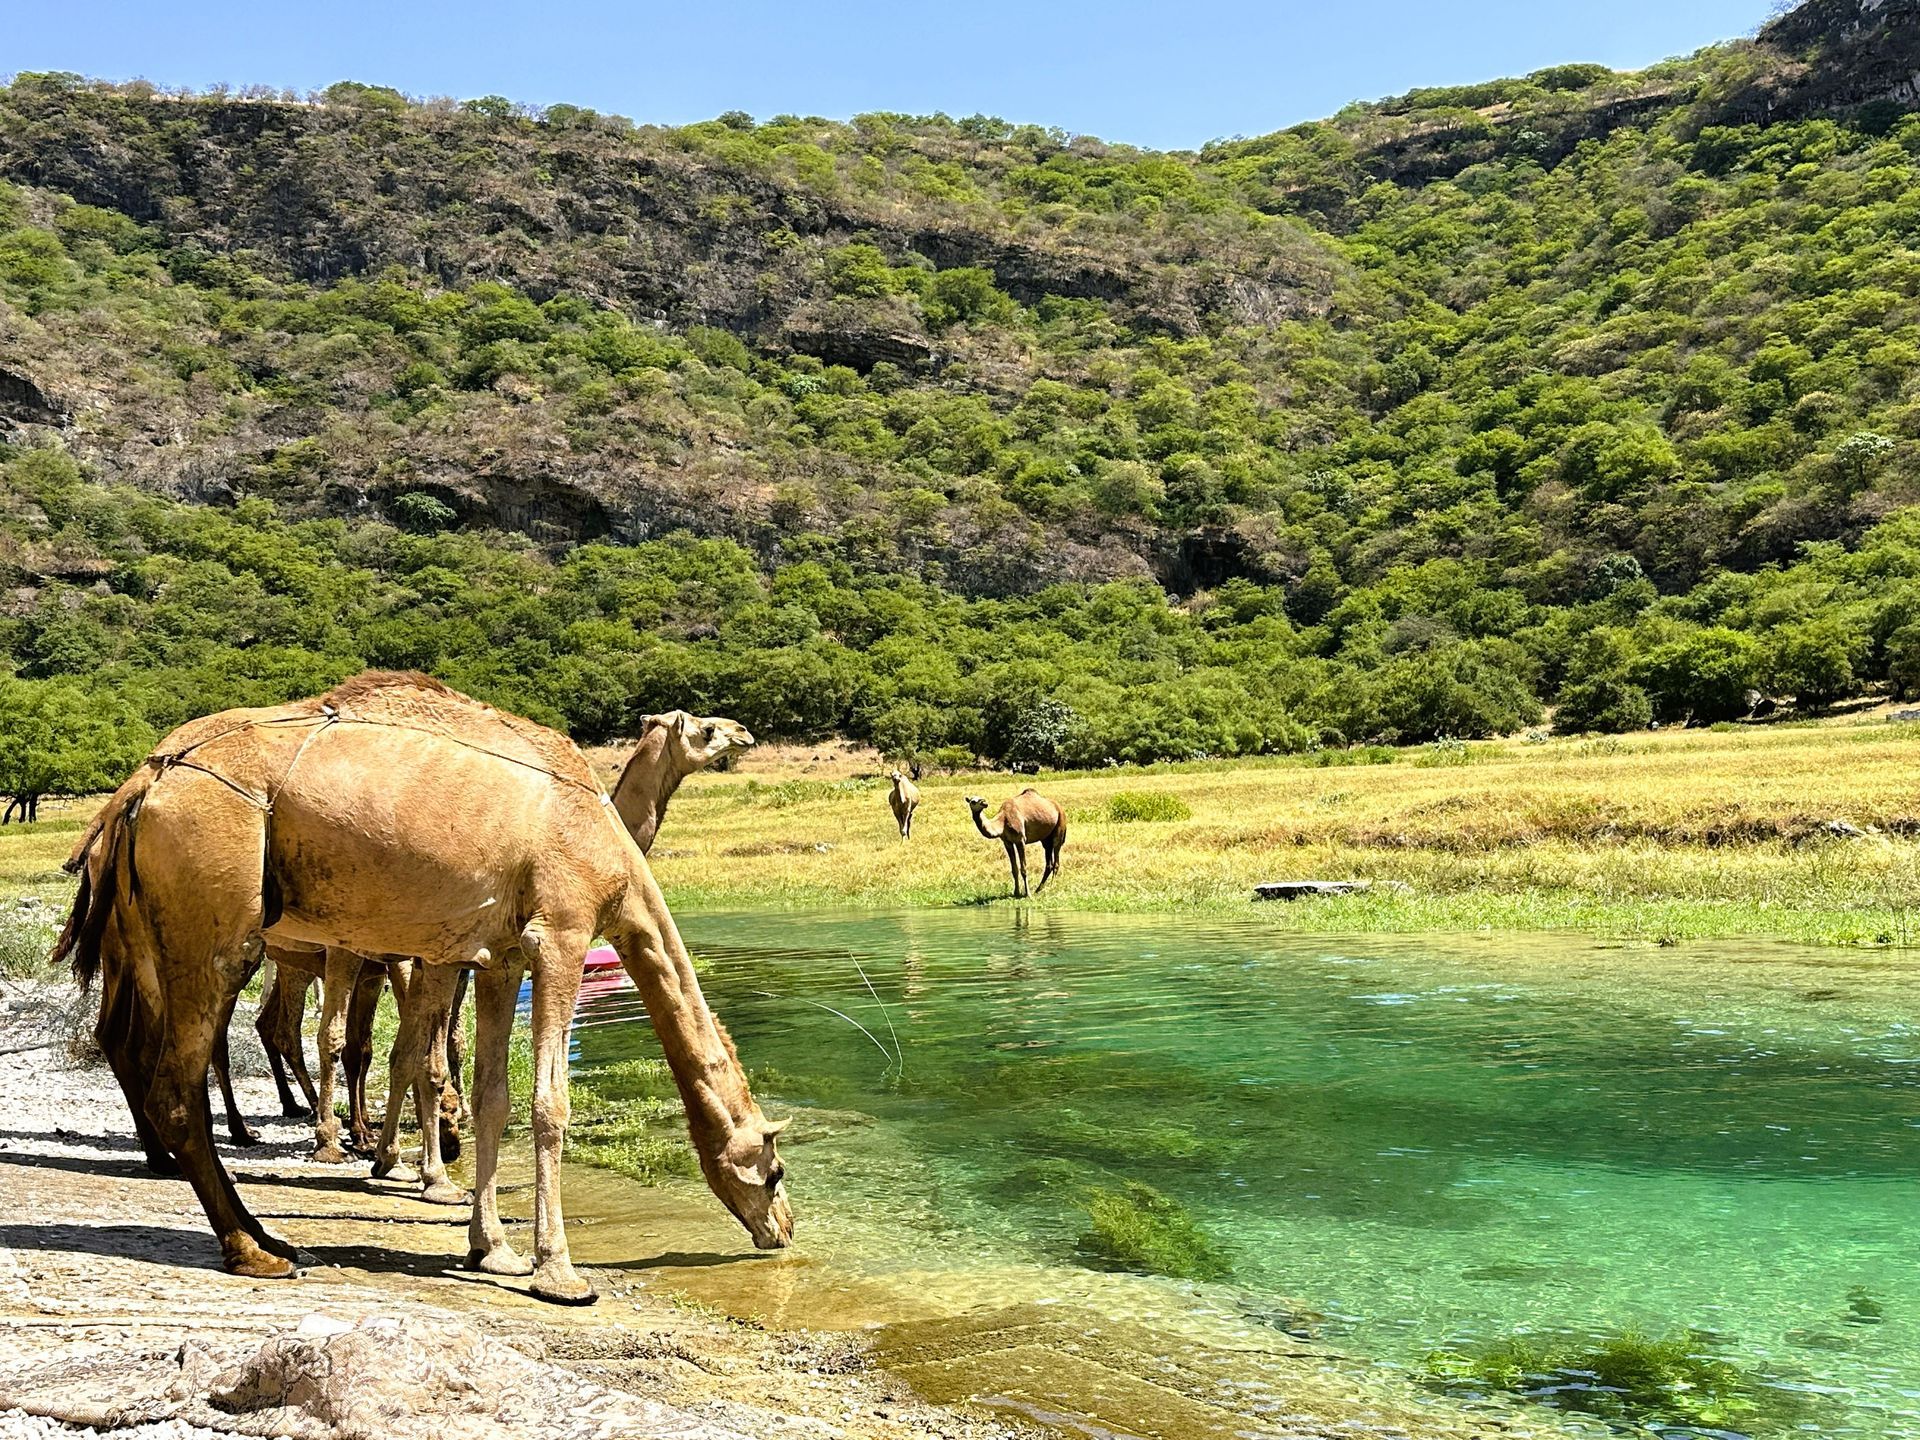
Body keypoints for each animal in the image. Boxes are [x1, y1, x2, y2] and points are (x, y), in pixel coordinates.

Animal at [58, 673, 791, 1303]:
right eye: (774, 1168)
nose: (782, 1230)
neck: (611, 841)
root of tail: (139, 787)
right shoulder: (560, 933)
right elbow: (545, 1103)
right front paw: (557, 1272)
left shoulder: (499, 957)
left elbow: (492, 1098)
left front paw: (491, 1250)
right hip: (215, 910)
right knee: (184, 1081)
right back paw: (256, 1246)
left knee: (146, 1043)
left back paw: (271, 1219)